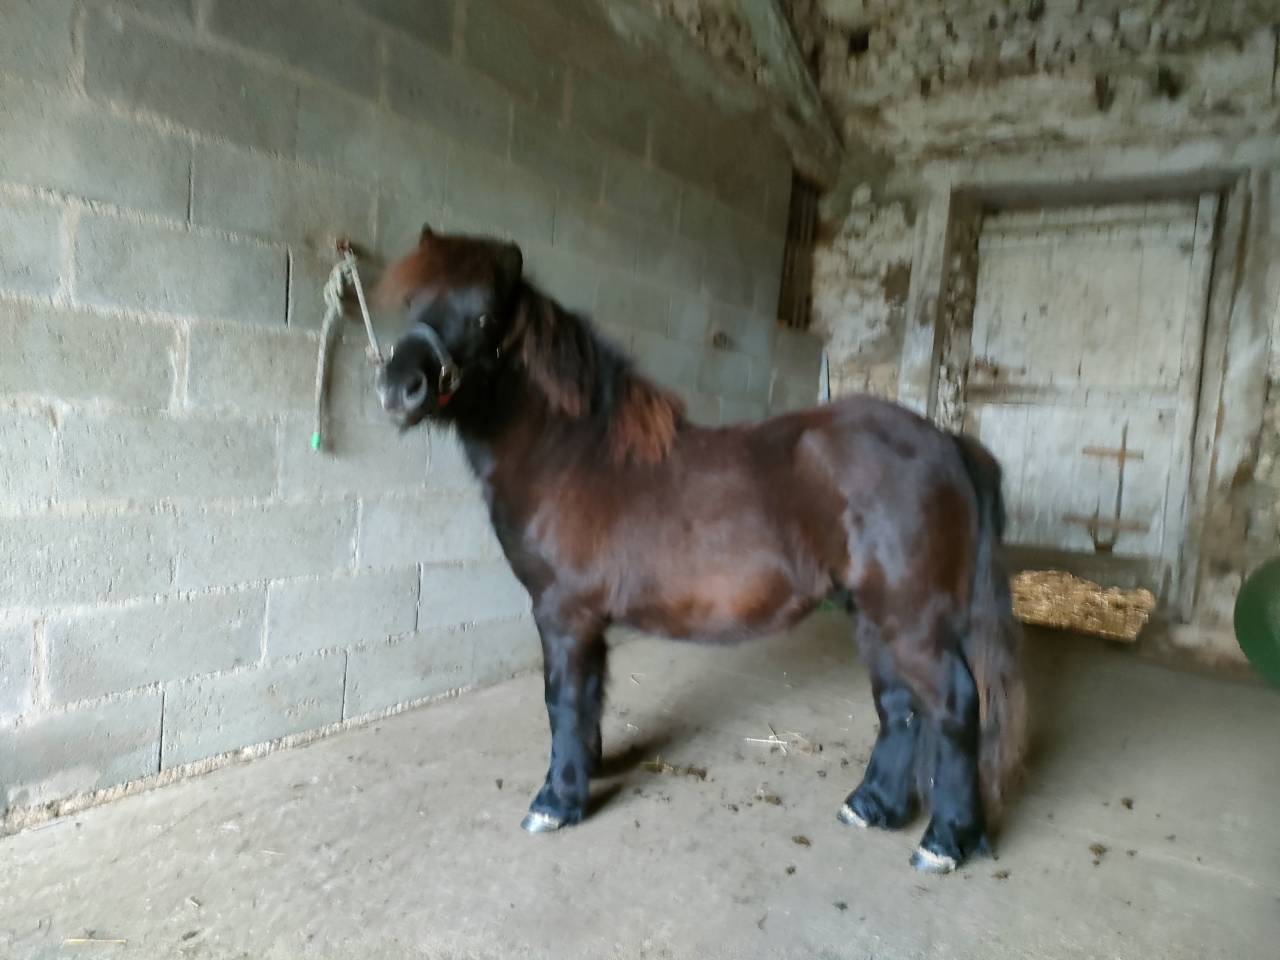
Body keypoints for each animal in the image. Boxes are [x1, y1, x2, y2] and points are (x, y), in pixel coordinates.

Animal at [373, 225, 1028, 873]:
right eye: (411, 303)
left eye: (483, 315)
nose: (399, 389)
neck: (573, 455)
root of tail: (947, 443)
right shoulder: (586, 619)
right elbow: (589, 700)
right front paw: (587, 770)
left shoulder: (563, 612)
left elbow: (563, 700)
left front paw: (556, 801)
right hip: (874, 616)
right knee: (901, 705)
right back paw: (873, 807)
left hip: (912, 619)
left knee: (954, 705)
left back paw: (943, 841)